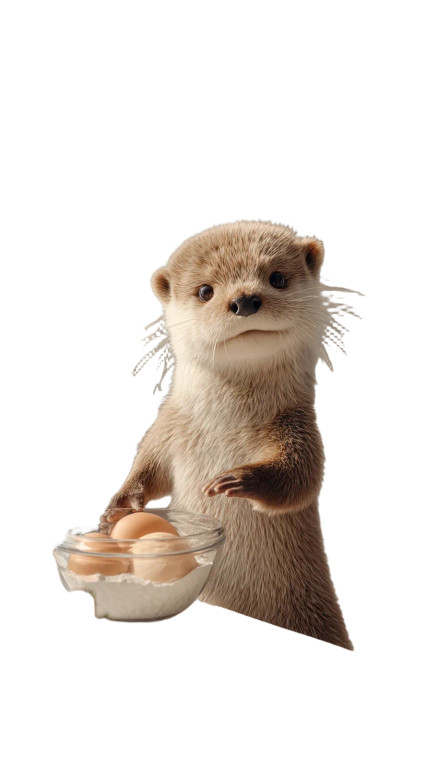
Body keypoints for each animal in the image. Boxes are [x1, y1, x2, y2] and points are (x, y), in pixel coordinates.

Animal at [100, 220, 353, 649]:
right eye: (205, 291)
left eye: (277, 277)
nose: (245, 300)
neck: (224, 428)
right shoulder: (165, 426)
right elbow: (147, 465)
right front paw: (119, 507)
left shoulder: (299, 430)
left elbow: (301, 478)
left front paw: (238, 480)